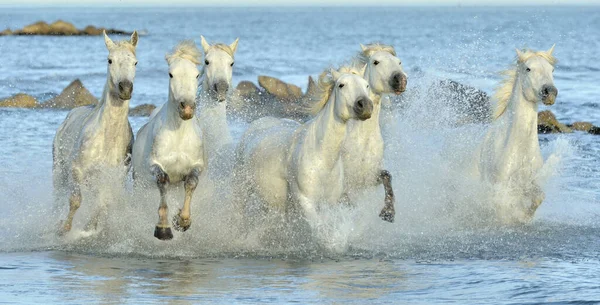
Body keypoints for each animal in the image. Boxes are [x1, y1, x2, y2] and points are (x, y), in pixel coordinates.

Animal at [53, 30, 139, 233]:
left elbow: (103, 204)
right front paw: (65, 228)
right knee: (57, 199)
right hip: (59, 171)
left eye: (135, 62)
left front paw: (90, 227)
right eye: (110, 60)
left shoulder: (113, 178)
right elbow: (75, 200)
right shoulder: (76, 169)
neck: (107, 137)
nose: (125, 88)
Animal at [132, 41, 205, 240]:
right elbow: (163, 181)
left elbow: (191, 183)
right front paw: (163, 228)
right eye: (171, 74)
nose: (187, 108)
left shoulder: (196, 166)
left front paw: (182, 221)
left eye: (197, 74)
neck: (178, 136)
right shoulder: (155, 166)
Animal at [237, 67, 372, 223]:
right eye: (341, 85)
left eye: (366, 85)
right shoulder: (305, 201)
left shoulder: (329, 204)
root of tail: (258, 122)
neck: (322, 159)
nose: (365, 105)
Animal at [304, 43, 408, 221]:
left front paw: (388, 212)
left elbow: (387, 175)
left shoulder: (368, 178)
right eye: (376, 62)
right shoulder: (347, 184)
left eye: (399, 62)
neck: (363, 140)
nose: (400, 80)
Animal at [476, 44, 560, 221]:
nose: (549, 92)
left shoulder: (529, 183)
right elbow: (502, 209)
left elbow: (537, 198)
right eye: (528, 68)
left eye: (552, 69)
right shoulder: (500, 188)